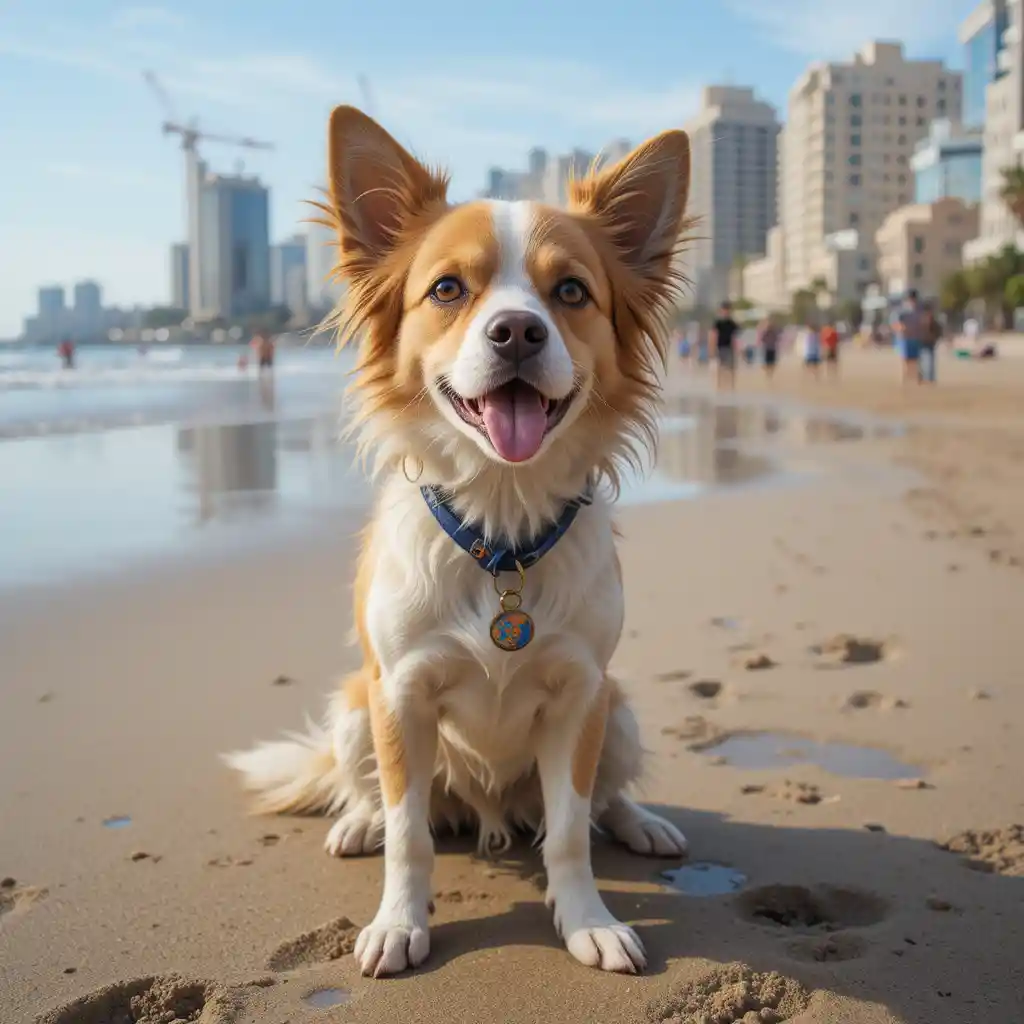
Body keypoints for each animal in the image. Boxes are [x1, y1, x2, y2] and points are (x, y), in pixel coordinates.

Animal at [227, 103, 692, 974]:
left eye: (571, 291)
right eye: (447, 289)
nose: (516, 331)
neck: (501, 525)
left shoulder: (582, 695)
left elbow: (571, 829)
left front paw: (587, 919)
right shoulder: (399, 692)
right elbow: (410, 834)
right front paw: (399, 921)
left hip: (620, 712)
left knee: (604, 801)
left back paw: (641, 823)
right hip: (354, 707)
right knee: (377, 796)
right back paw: (359, 821)